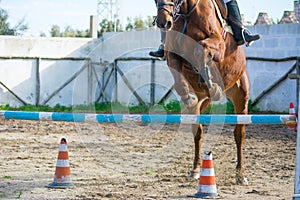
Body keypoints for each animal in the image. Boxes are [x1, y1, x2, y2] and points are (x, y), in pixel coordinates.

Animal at [156, 0, 250, 184]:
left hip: (241, 96)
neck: (187, 13)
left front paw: (209, 80)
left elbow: (201, 49)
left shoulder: (218, 45)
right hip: (202, 101)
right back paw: (195, 169)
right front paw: (187, 96)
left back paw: (240, 174)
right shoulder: (172, 53)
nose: (163, 23)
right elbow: (178, 78)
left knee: (239, 134)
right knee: (198, 132)